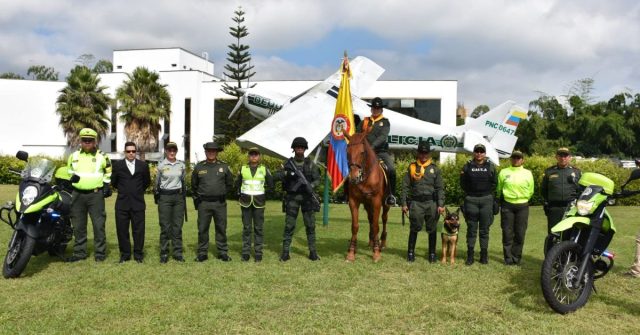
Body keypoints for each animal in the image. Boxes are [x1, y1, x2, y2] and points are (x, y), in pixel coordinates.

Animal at [344, 132, 390, 262]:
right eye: (347, 152)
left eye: (362, 152)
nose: (353, 177)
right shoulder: (353, 201)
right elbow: (355, 226)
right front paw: (351, 252)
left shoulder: (376, 201)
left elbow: (376, 226)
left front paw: (376, 253)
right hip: (367, 204)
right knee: (370, 219)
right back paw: (371, 241)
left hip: (385, 204)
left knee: (384, 219)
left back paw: (381, 243)